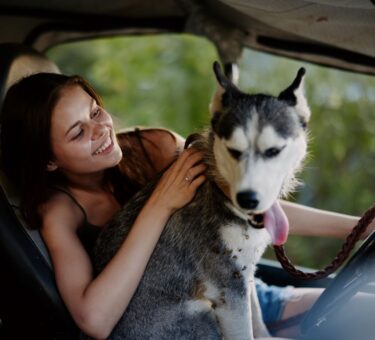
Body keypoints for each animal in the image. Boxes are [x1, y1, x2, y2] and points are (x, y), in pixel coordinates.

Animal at [94, 61, 312, 340]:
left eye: (273, 151)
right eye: (234, 150)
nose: (248, 199)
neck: (219, 190)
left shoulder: (245, 276)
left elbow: (258, 321)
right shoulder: (228, 289)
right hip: (202, 313)